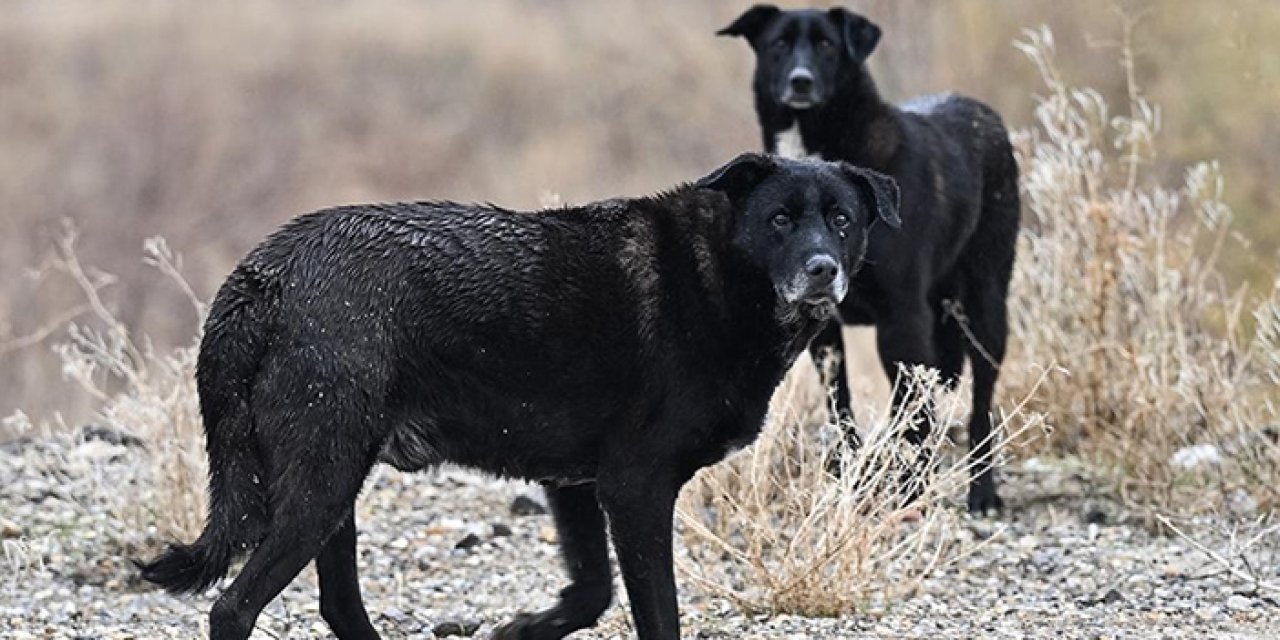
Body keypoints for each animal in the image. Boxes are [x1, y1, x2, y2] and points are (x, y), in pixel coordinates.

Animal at [135, 151, 901, 640]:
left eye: (841, 219)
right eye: (780, 219)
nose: (822, 270)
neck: (717, 278)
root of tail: (262, 274)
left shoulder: (577, 484)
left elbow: (591, 593)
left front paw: (523, 630)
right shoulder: (636, 487)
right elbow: (657, 614)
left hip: (331, 487)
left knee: (339, 607)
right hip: (320, 483)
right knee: (234, 609)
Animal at [721, 5, 1018, 512]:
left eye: (827, 45)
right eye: (779, 44)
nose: (800, 81)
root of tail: (984, 112)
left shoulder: (902, 321)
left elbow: (913, 414)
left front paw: (912, 490)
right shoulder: (825, 331)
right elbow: (841, 407)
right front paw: (852, 477)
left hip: (986, 307)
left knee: (980, 402)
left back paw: (982, 491)